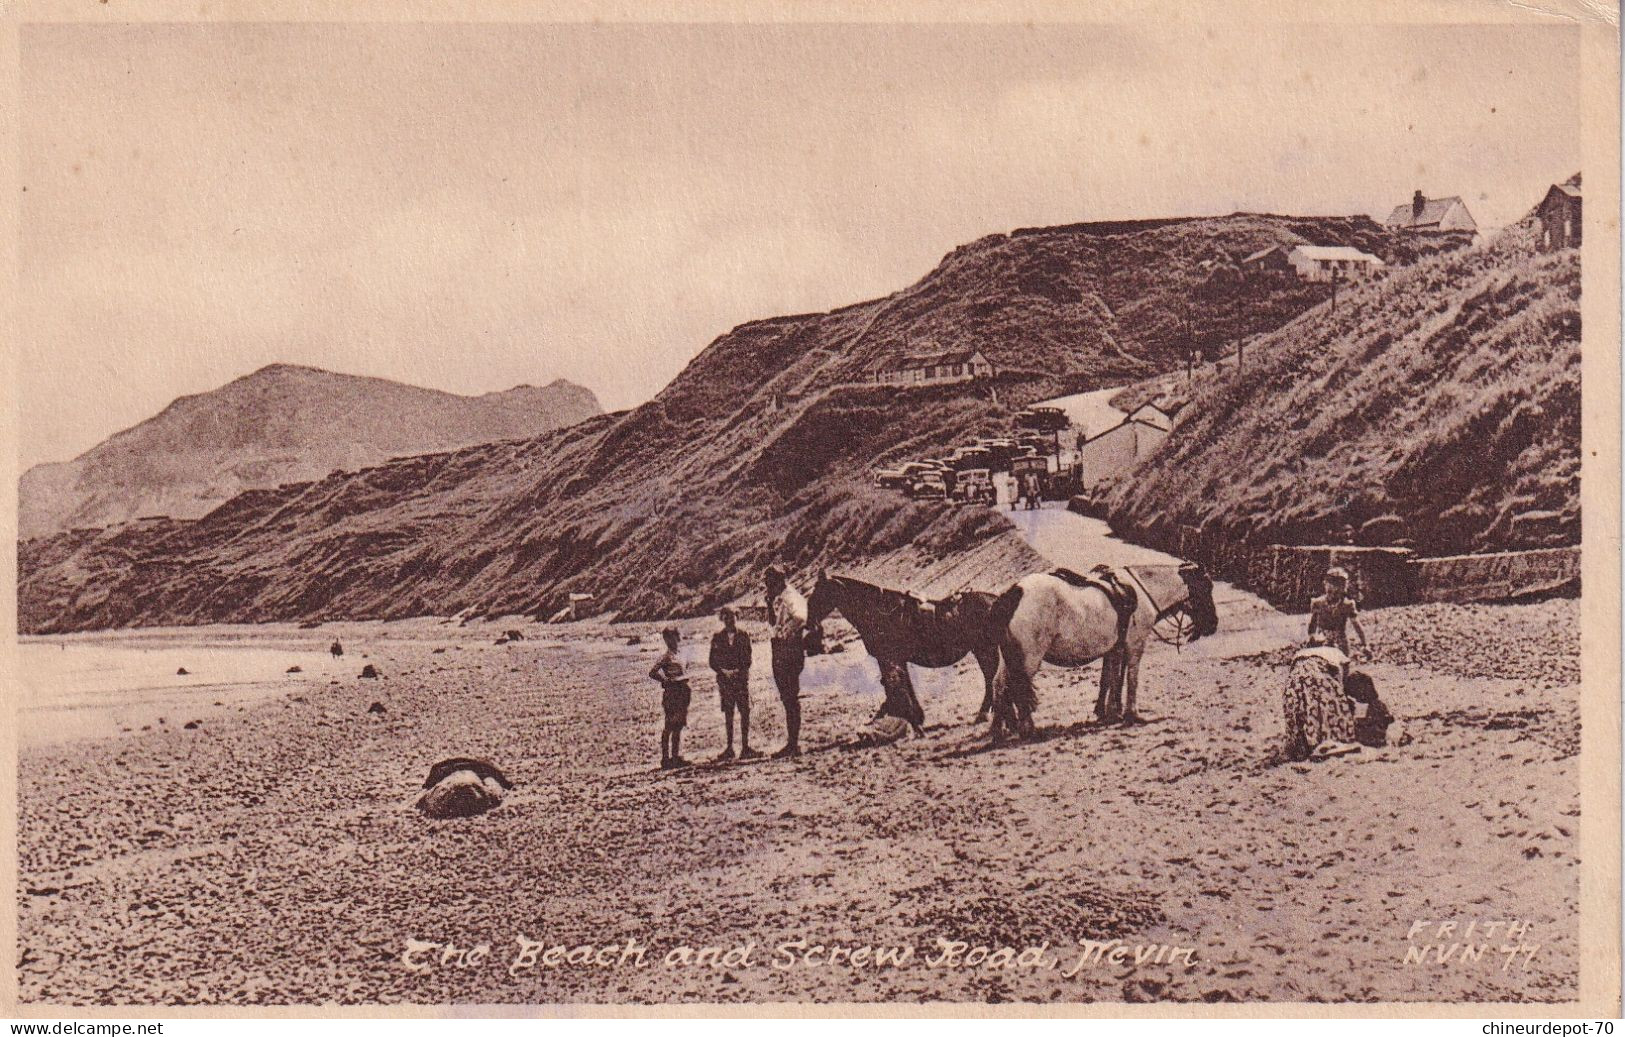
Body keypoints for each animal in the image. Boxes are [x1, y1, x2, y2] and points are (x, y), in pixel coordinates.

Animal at [802, 572, 1001, 734]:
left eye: (819, 592)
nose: (808, 621)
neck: (880, 613)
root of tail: (994, 599)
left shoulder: (888, 659)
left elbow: (896, 687)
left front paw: (913, 722)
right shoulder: (898, 660)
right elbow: (905, 685)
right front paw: (916, 718)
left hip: (984, 648)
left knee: (989, 676)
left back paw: (983, 713)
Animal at [981, 568, 1215, 741]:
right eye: (1207, 587)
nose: (1213, 625)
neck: (1141, 591)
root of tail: (1011, 594)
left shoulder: (1114, 649)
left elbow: (1111, 679)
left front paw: (1111, 712)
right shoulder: (1134, 645)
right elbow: (1131, 679)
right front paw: (1132, 714)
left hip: (1009, 658)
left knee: (999, 685)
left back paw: (999, 730)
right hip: (1028, 659)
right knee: (1018, 688)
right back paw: (1027, 729)